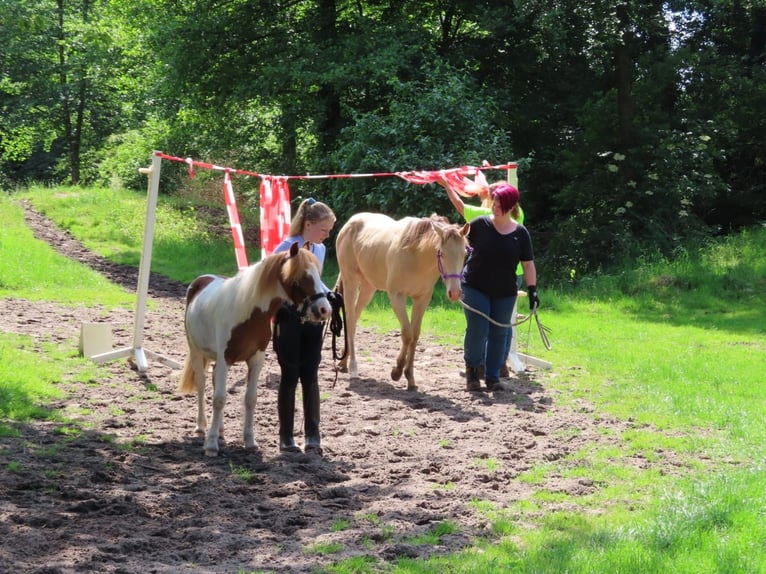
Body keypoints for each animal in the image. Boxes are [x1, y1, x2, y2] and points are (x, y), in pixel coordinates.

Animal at [178, 243, 332, 460]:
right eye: (303, 276)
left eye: (318, 274)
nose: (325, 309)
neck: (248, 313)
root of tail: (201, 281)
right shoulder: (224, 358)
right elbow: (219, 399)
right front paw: (211, 445)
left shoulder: (256, 359)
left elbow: (250, 399)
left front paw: (250, 442)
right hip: (196, 352)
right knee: (201, 385)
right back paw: (202, 428)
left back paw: (220, 431)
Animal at [338, 214, 472, 394]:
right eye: (442, 253)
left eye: (464, 254)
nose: (455, 293)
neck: (416, 255)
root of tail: (350, 223)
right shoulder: (397, 297)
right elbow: (407, 334)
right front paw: (396, 371)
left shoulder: (422, 299)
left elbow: (415, 335)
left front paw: (410, 378)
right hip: (350, 281)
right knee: (351, 320)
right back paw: (353, 367)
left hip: (368, 287)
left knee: (354, 317)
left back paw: (343, 362)